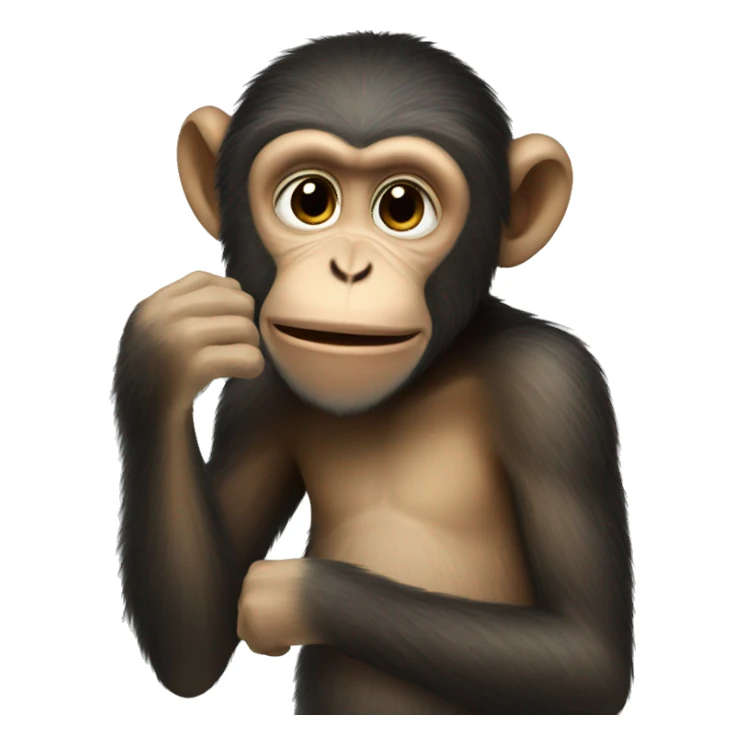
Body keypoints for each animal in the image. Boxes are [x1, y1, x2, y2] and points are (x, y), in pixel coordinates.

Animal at [115, 32, 633, 715]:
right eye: (310, 200)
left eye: (403, 207)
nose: (349, 267)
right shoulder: (255, 399)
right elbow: (194, 647)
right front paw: (166, 346)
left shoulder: (554, 390)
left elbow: (585, 658)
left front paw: (285, 595)